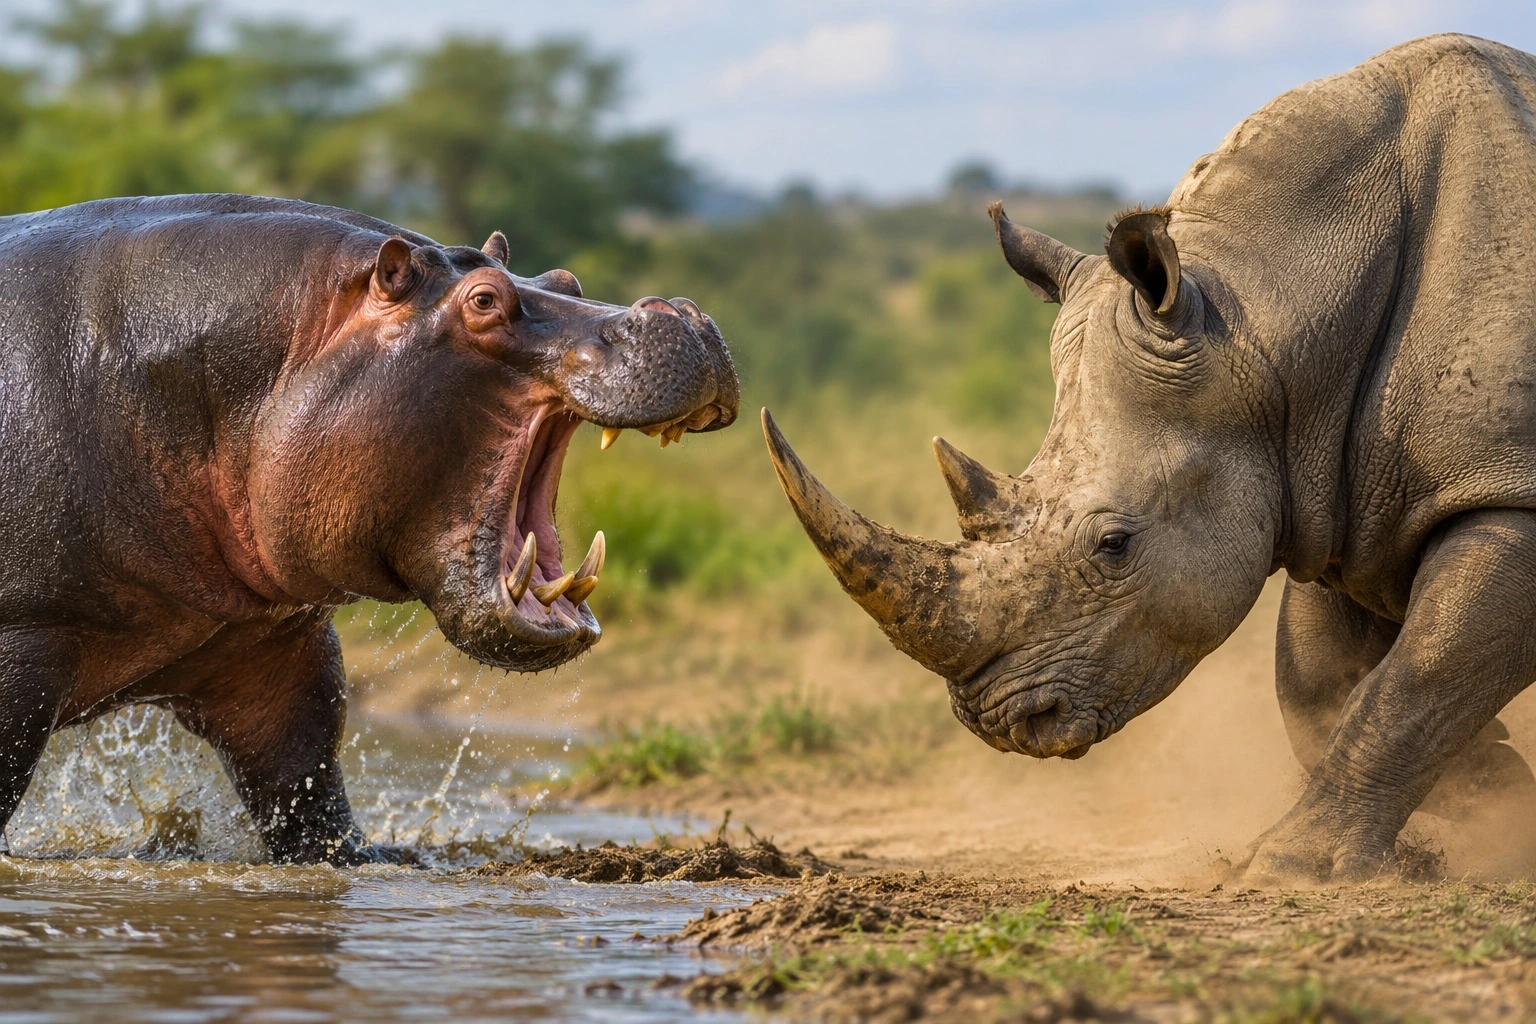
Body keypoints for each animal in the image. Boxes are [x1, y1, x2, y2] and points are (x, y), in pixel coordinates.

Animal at [0, 193, 738, 864]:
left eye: (566, 281)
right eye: (484, 301)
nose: (680, 314)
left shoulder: (274, 658)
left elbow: (307, 789)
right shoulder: (23, 645)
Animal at [763, 33, 1536, 882]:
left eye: (1114, 543)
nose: (998, 721)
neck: (1266, 319)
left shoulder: (1506, 488)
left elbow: (1418, 676)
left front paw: (1284, 869)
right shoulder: (1338, 492)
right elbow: (1319, 682)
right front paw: (1494, 781)